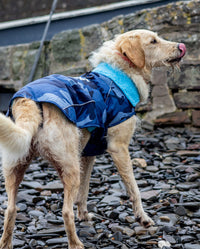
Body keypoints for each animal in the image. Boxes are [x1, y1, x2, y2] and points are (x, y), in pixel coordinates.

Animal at [0, 29, 186, 249]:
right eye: (153, 41)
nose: (181, 46)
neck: (120, 71)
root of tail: (29, 101)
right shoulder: (119, 148)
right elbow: (133, 188)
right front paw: (143, 217)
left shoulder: (87, 155)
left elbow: (85, 190)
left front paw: (84, 215)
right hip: (69, 166)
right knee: (65, 212)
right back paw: (76, 244)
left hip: (15, 166)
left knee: (11, 209)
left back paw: (7, 242)